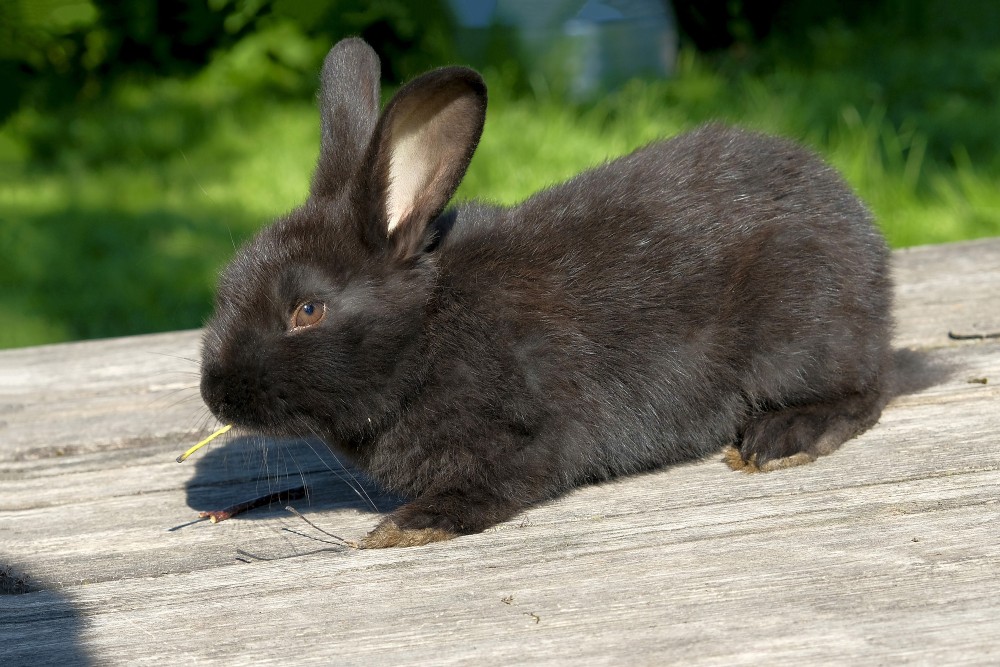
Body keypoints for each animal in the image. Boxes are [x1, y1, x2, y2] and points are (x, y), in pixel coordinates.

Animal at [200, 38, 894, 548]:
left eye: (307, 309)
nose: (215, 393)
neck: (427, 330)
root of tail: (867, 245)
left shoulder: (528, 432)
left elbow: (496, 485)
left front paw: (411, 526)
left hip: (801, 333)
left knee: (866, 393)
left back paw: (780, 440)